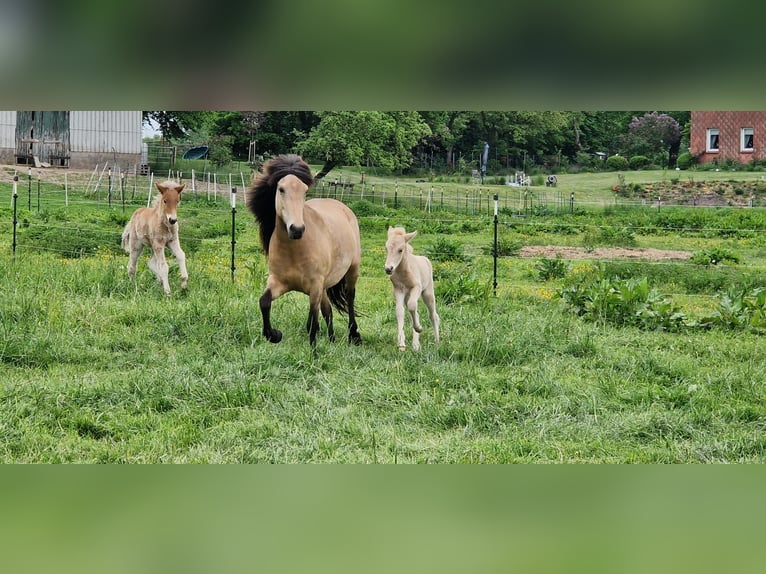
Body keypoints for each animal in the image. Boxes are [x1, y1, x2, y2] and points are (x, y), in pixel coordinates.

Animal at [248, 154, 364, 346]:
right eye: (281, 189)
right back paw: (332, 340)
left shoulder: (315, 287)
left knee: (350, 297)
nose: (297, 229)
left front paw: (314, 351)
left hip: (352, 270)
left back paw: (354, 335)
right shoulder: (277, 282)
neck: (294, 251)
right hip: (325, 285)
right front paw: (274, 335)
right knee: (328, 309)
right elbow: (264, 302)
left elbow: (312, 322)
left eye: (304, 191)